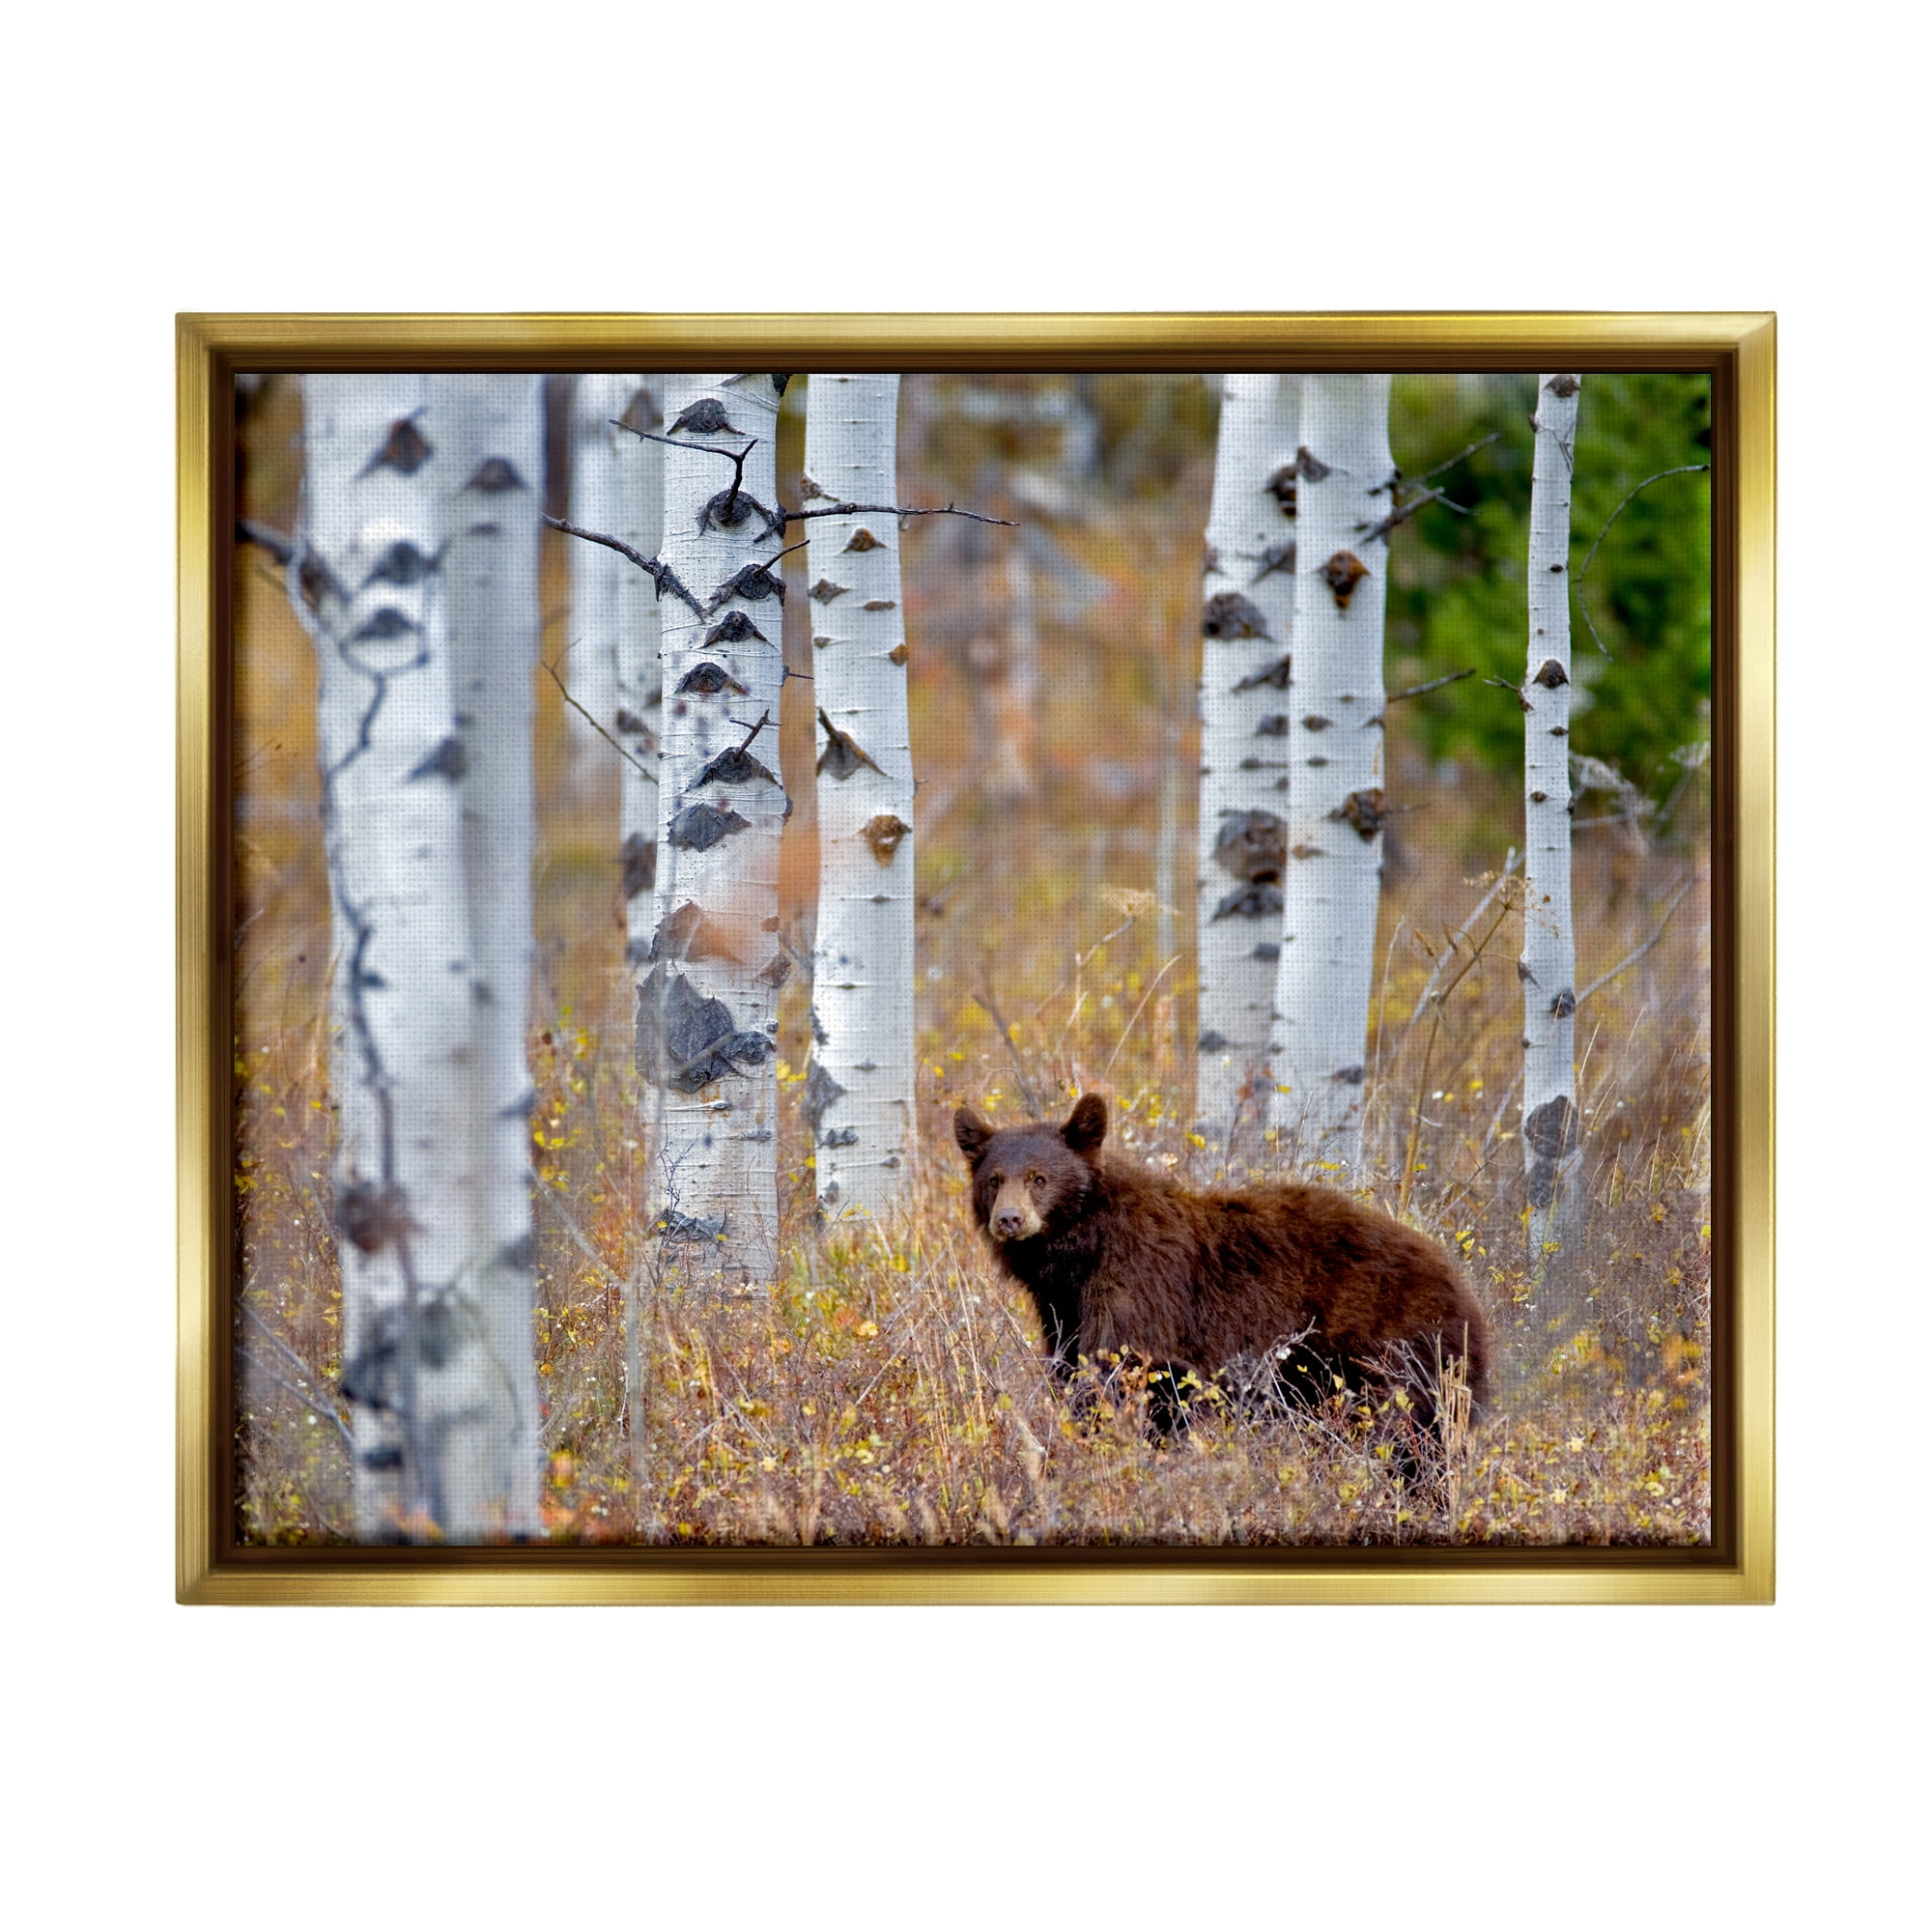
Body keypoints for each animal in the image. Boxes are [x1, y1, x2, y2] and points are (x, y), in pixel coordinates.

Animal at [953, 1092, 1488, 1453]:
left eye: (1039, 1178)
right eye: (994, 1180)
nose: (1009, 1220)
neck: (1081, 1252)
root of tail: (1463, 1292)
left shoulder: (1141, 1289)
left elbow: (1120, 1372)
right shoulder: (1062, 1310)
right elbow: (1076, 1369)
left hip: (1389, 1353)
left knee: (1399, 1436)